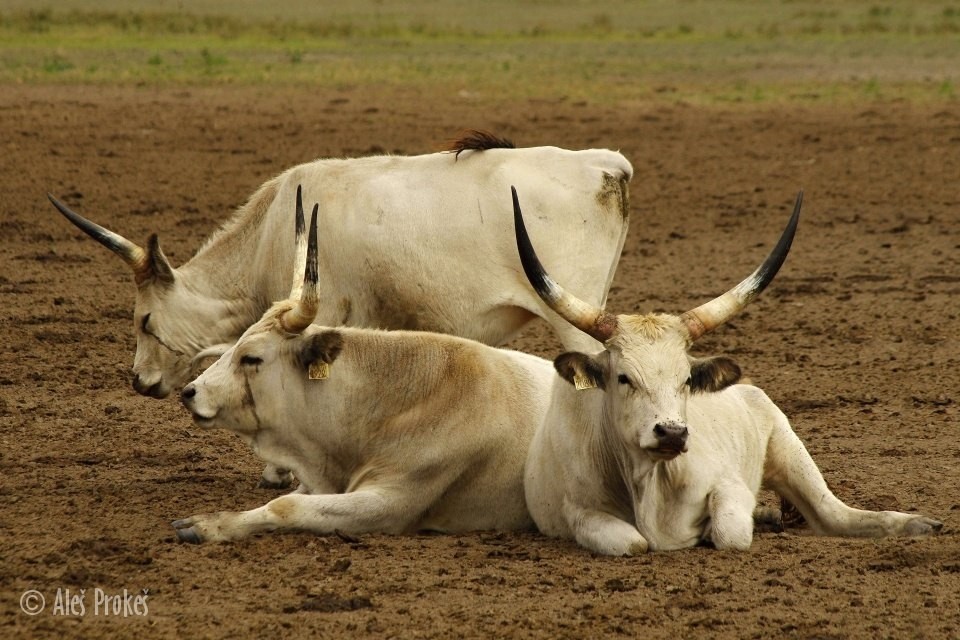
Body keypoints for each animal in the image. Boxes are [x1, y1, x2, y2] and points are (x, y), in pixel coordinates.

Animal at [512, 188, 940, 552]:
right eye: (623, 378)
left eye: (686, 379)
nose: (672, 432)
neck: (649, 483)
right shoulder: (580, 513)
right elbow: (633, 543)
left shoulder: (729, 485)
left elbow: (730, 533)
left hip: (788, 448)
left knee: (835, 514)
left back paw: (919, 523)